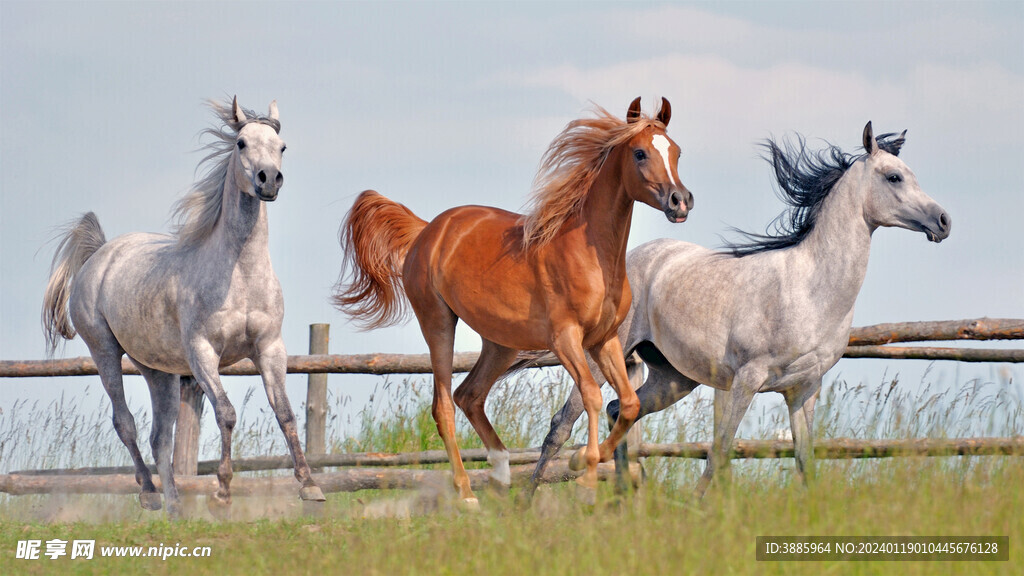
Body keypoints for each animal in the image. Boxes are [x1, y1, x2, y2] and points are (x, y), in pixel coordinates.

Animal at [43, 96, 323, 518]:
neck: (238, 273)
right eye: (241, 142)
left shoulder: (270, 348)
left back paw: (176, 507)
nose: (268, 180)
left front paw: (310, 487)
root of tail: (100, 255)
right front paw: (222, 493)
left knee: (160, 436)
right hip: (105, 351)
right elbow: (226, 413)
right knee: (125, 422)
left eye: (282, 146)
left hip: (158, 370)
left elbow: (286, 413)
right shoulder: (201, 352)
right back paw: (150, 494)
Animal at [331, 96, 692, 504]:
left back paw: (502, 475)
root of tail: (427, 231)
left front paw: (580, 462)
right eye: (640, 153)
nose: (680, 202)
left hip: (501, 343)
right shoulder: (566, 339)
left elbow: (629, 403)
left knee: (469, 395)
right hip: (438, 323)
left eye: (676, 151)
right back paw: (467, 495)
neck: (588, 253)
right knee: (444, 406)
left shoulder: (604, 339)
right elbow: (591, 396)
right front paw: (584, 477)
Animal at [528, 121, 950, 498]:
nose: (943, 221)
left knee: (620, 410)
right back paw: (527, 502)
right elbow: (720, 453)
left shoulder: (804, 389)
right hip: (600, 358)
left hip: (673, 379)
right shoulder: (746, 379)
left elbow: (804, 461)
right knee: (562, 424)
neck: (810, 289)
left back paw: (627, 500)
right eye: (894, 177)